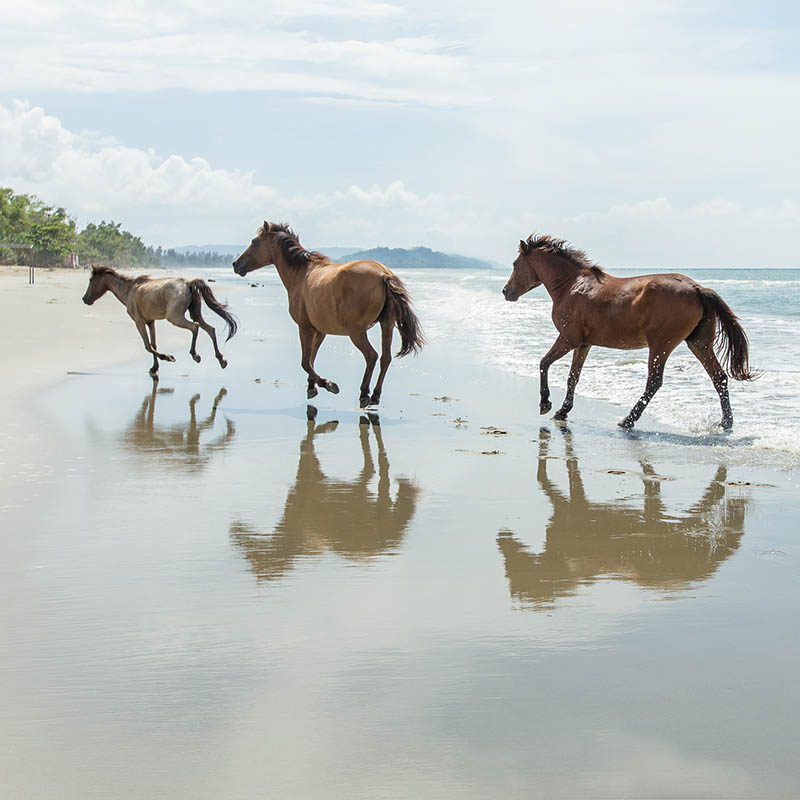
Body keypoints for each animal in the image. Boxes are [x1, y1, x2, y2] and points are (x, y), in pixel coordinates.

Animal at [83, 266, 238, 378]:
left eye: (90, 280)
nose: (85, 299)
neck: (130, 290)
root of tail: (188, 283)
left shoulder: (139, 322)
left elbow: (148, 346)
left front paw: (168, 358)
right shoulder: (150, 322)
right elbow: (154, 344)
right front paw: (154, 368)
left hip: (175, 317)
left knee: (195, 327)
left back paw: (195, 355)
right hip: (195, 314)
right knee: (210, 329)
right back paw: (221, 360)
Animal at [231, 220, 422, 406]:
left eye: (254, 242)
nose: (235, 264)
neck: (302, 274)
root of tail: (384, 275)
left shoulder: (305, 328)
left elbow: (305, 362)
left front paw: (327, 384)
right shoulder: (320, 331)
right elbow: (311, 359)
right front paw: (312, 387)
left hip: (357, 331)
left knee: (371, 356)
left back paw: (364, 394)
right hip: (386, 324)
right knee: (385, 358)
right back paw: (375, 395)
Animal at [500, 234, 756, 428]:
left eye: (514, 264)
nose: (505, 291)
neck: (571, 286)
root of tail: (696, 288)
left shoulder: (568, 339)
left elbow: (544, 363)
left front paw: (545, 404)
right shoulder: (583, 343)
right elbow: (573, 377)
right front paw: (562, 411)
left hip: (661, 345)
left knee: (654, 382)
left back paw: (628, 420)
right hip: (698, 343)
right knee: (719, 378)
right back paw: (726, 423)